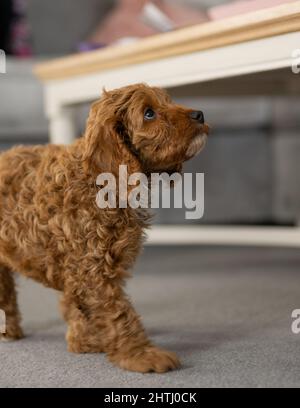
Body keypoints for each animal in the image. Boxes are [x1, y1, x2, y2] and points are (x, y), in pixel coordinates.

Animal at [0, 83, 209, 372]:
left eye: (168, 101)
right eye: (149, 113)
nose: (200, 114)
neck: (98, 182)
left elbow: (78, 305)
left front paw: (84, 341)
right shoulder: (90, 266)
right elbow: (117, 311)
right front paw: (140, 354)